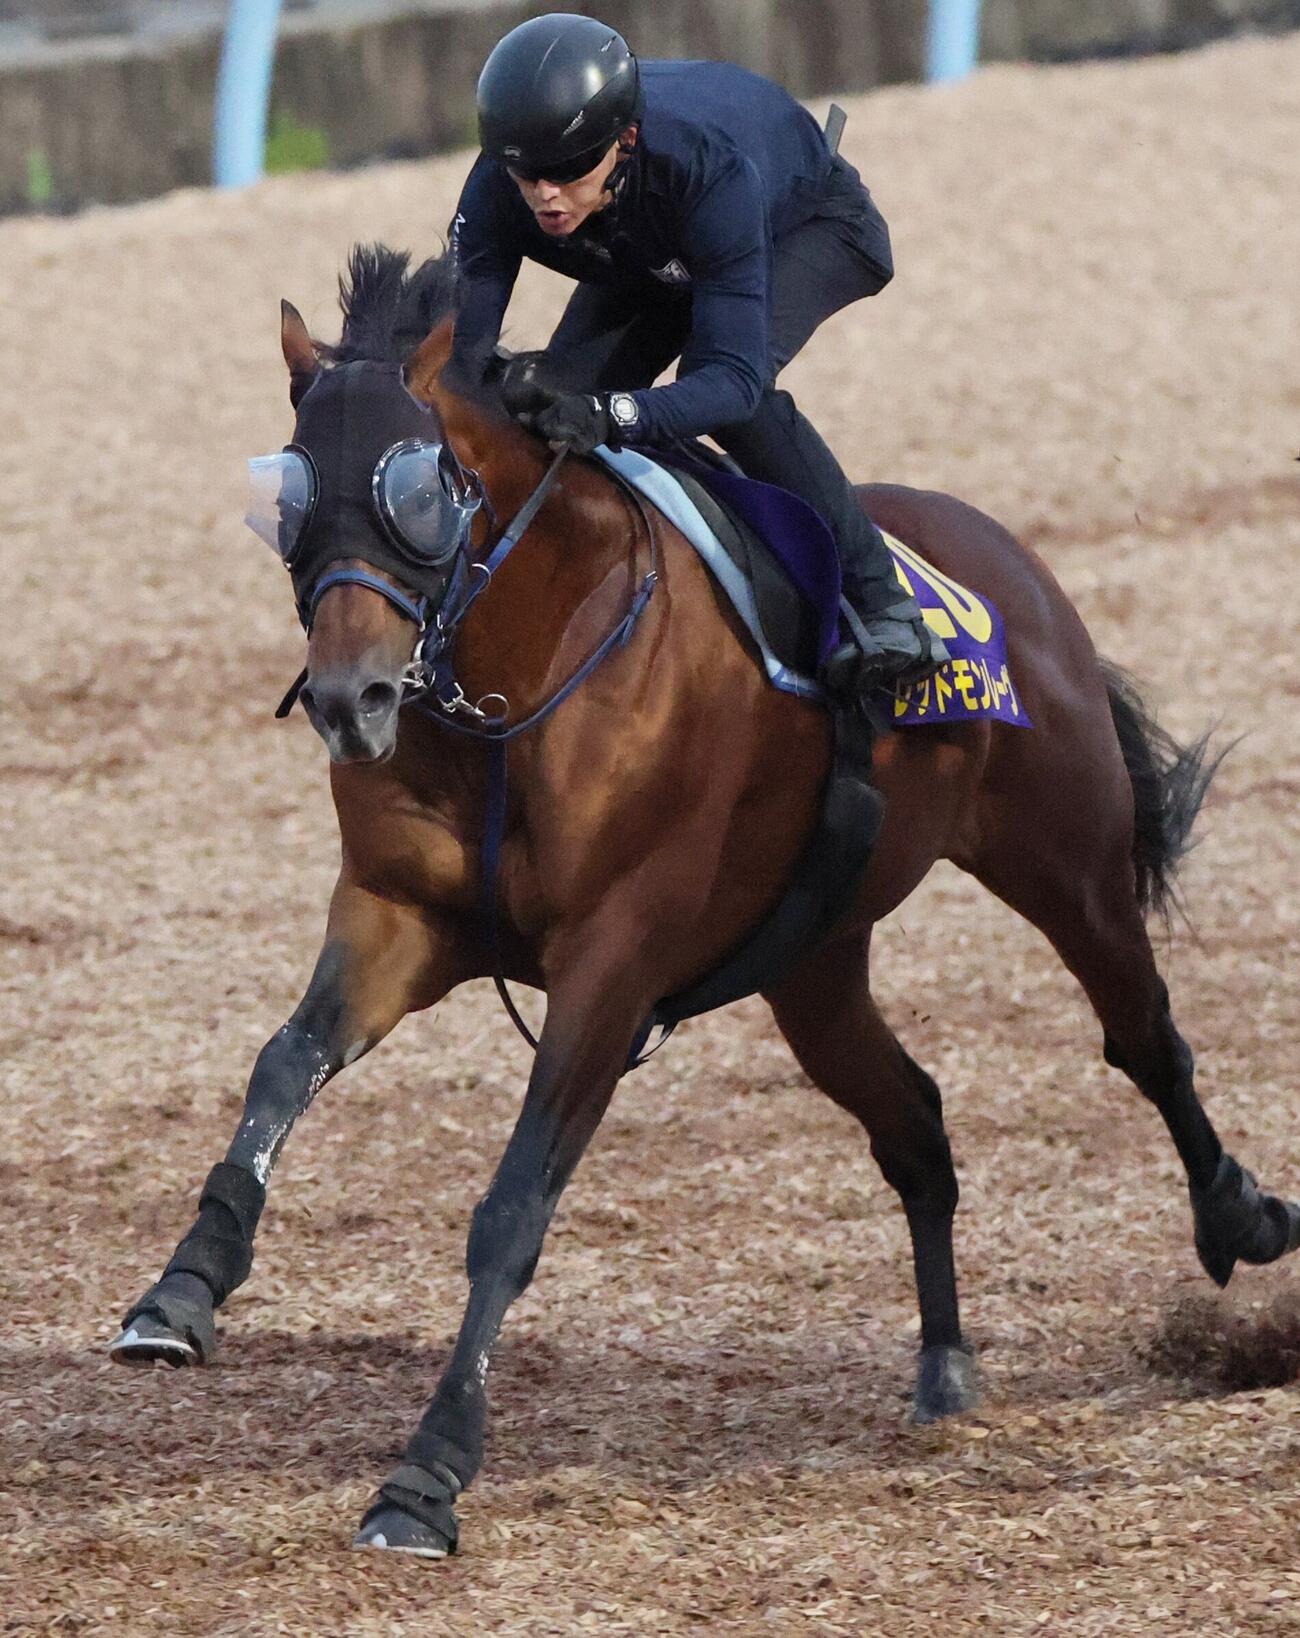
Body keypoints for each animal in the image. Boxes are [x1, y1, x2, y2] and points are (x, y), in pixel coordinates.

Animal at [111, 245, 1300, 1559]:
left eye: (421, 488)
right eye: (290, 495)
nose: (349, 699)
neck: (518, 682)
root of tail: (1007, 561)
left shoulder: (612, 963)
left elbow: (514, 1205)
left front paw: (426, 1476)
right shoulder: (397, 918)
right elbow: (282, 1065)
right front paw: (182, 1289)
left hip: (1065, 863)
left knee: (1142, 1037)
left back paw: (1238, 1219)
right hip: (813, 963)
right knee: (914, 1121)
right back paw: (943, 1366)